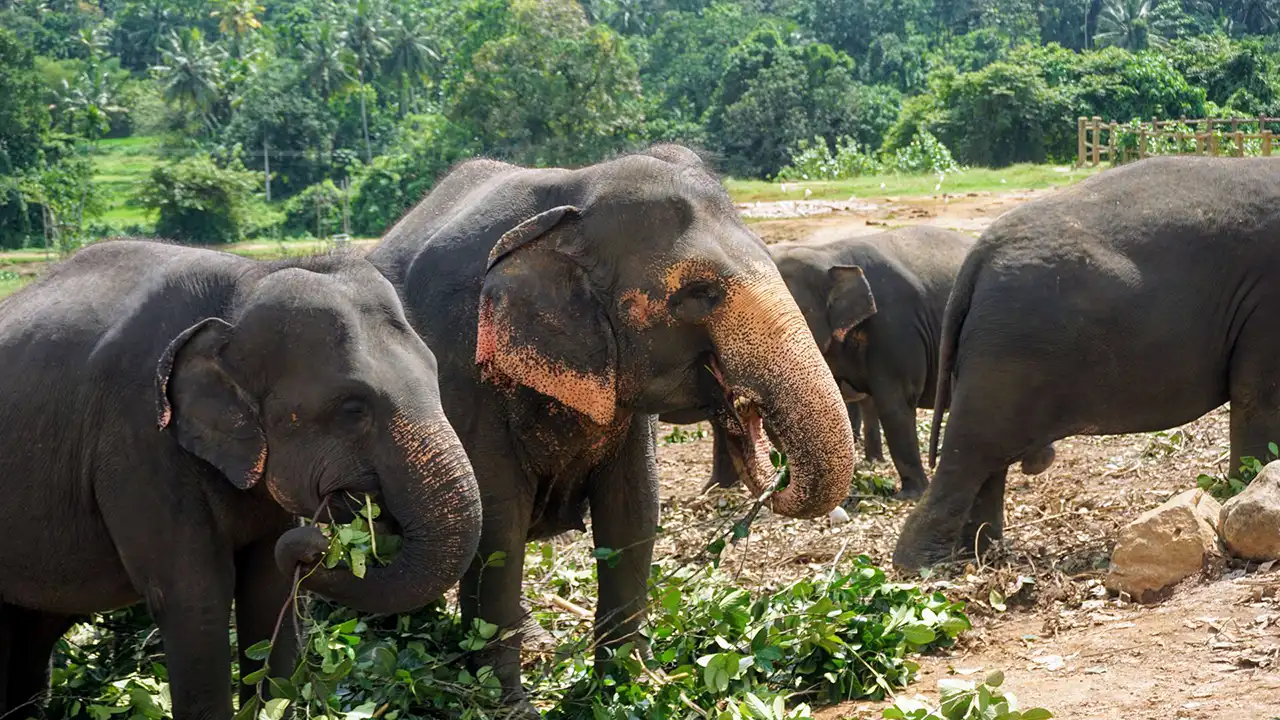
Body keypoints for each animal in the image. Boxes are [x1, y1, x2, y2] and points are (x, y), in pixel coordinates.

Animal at [0, 240, 482, 719]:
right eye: (352, 408)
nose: (317, 548)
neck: (243, 288)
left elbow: (268, 591)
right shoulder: (138, 442)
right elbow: (194, 600)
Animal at [368, 143, 855, 711]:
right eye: (700, 292)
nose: (751, 425)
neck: (572, 195)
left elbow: (634, 510)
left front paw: (633, 690)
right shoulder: (459, 367)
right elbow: (496, 523)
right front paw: (509, 707)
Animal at [893, 156, 1280, 570]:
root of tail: (977, 257)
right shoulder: (1267, 300)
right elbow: (1258, 396)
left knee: (987, 460)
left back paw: (981, 554)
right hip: (1008, 353)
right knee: (973, 448)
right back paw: (924, 564)